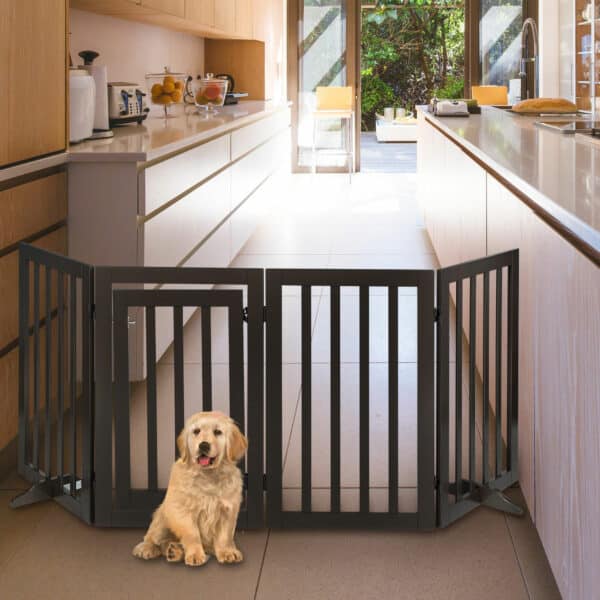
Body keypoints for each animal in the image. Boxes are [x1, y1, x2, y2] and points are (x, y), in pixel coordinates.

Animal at [132, 412, 247, 568]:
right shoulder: (182, 510)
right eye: (196, 431)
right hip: (162, 517)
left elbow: (225, 535)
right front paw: (195, 555)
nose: (203, 445)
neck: (208, 476)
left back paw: (175, 550)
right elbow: (192, 534)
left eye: (218, 432)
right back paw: (149, 548)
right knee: (154, 538)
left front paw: (227, 552)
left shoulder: (227, 510)